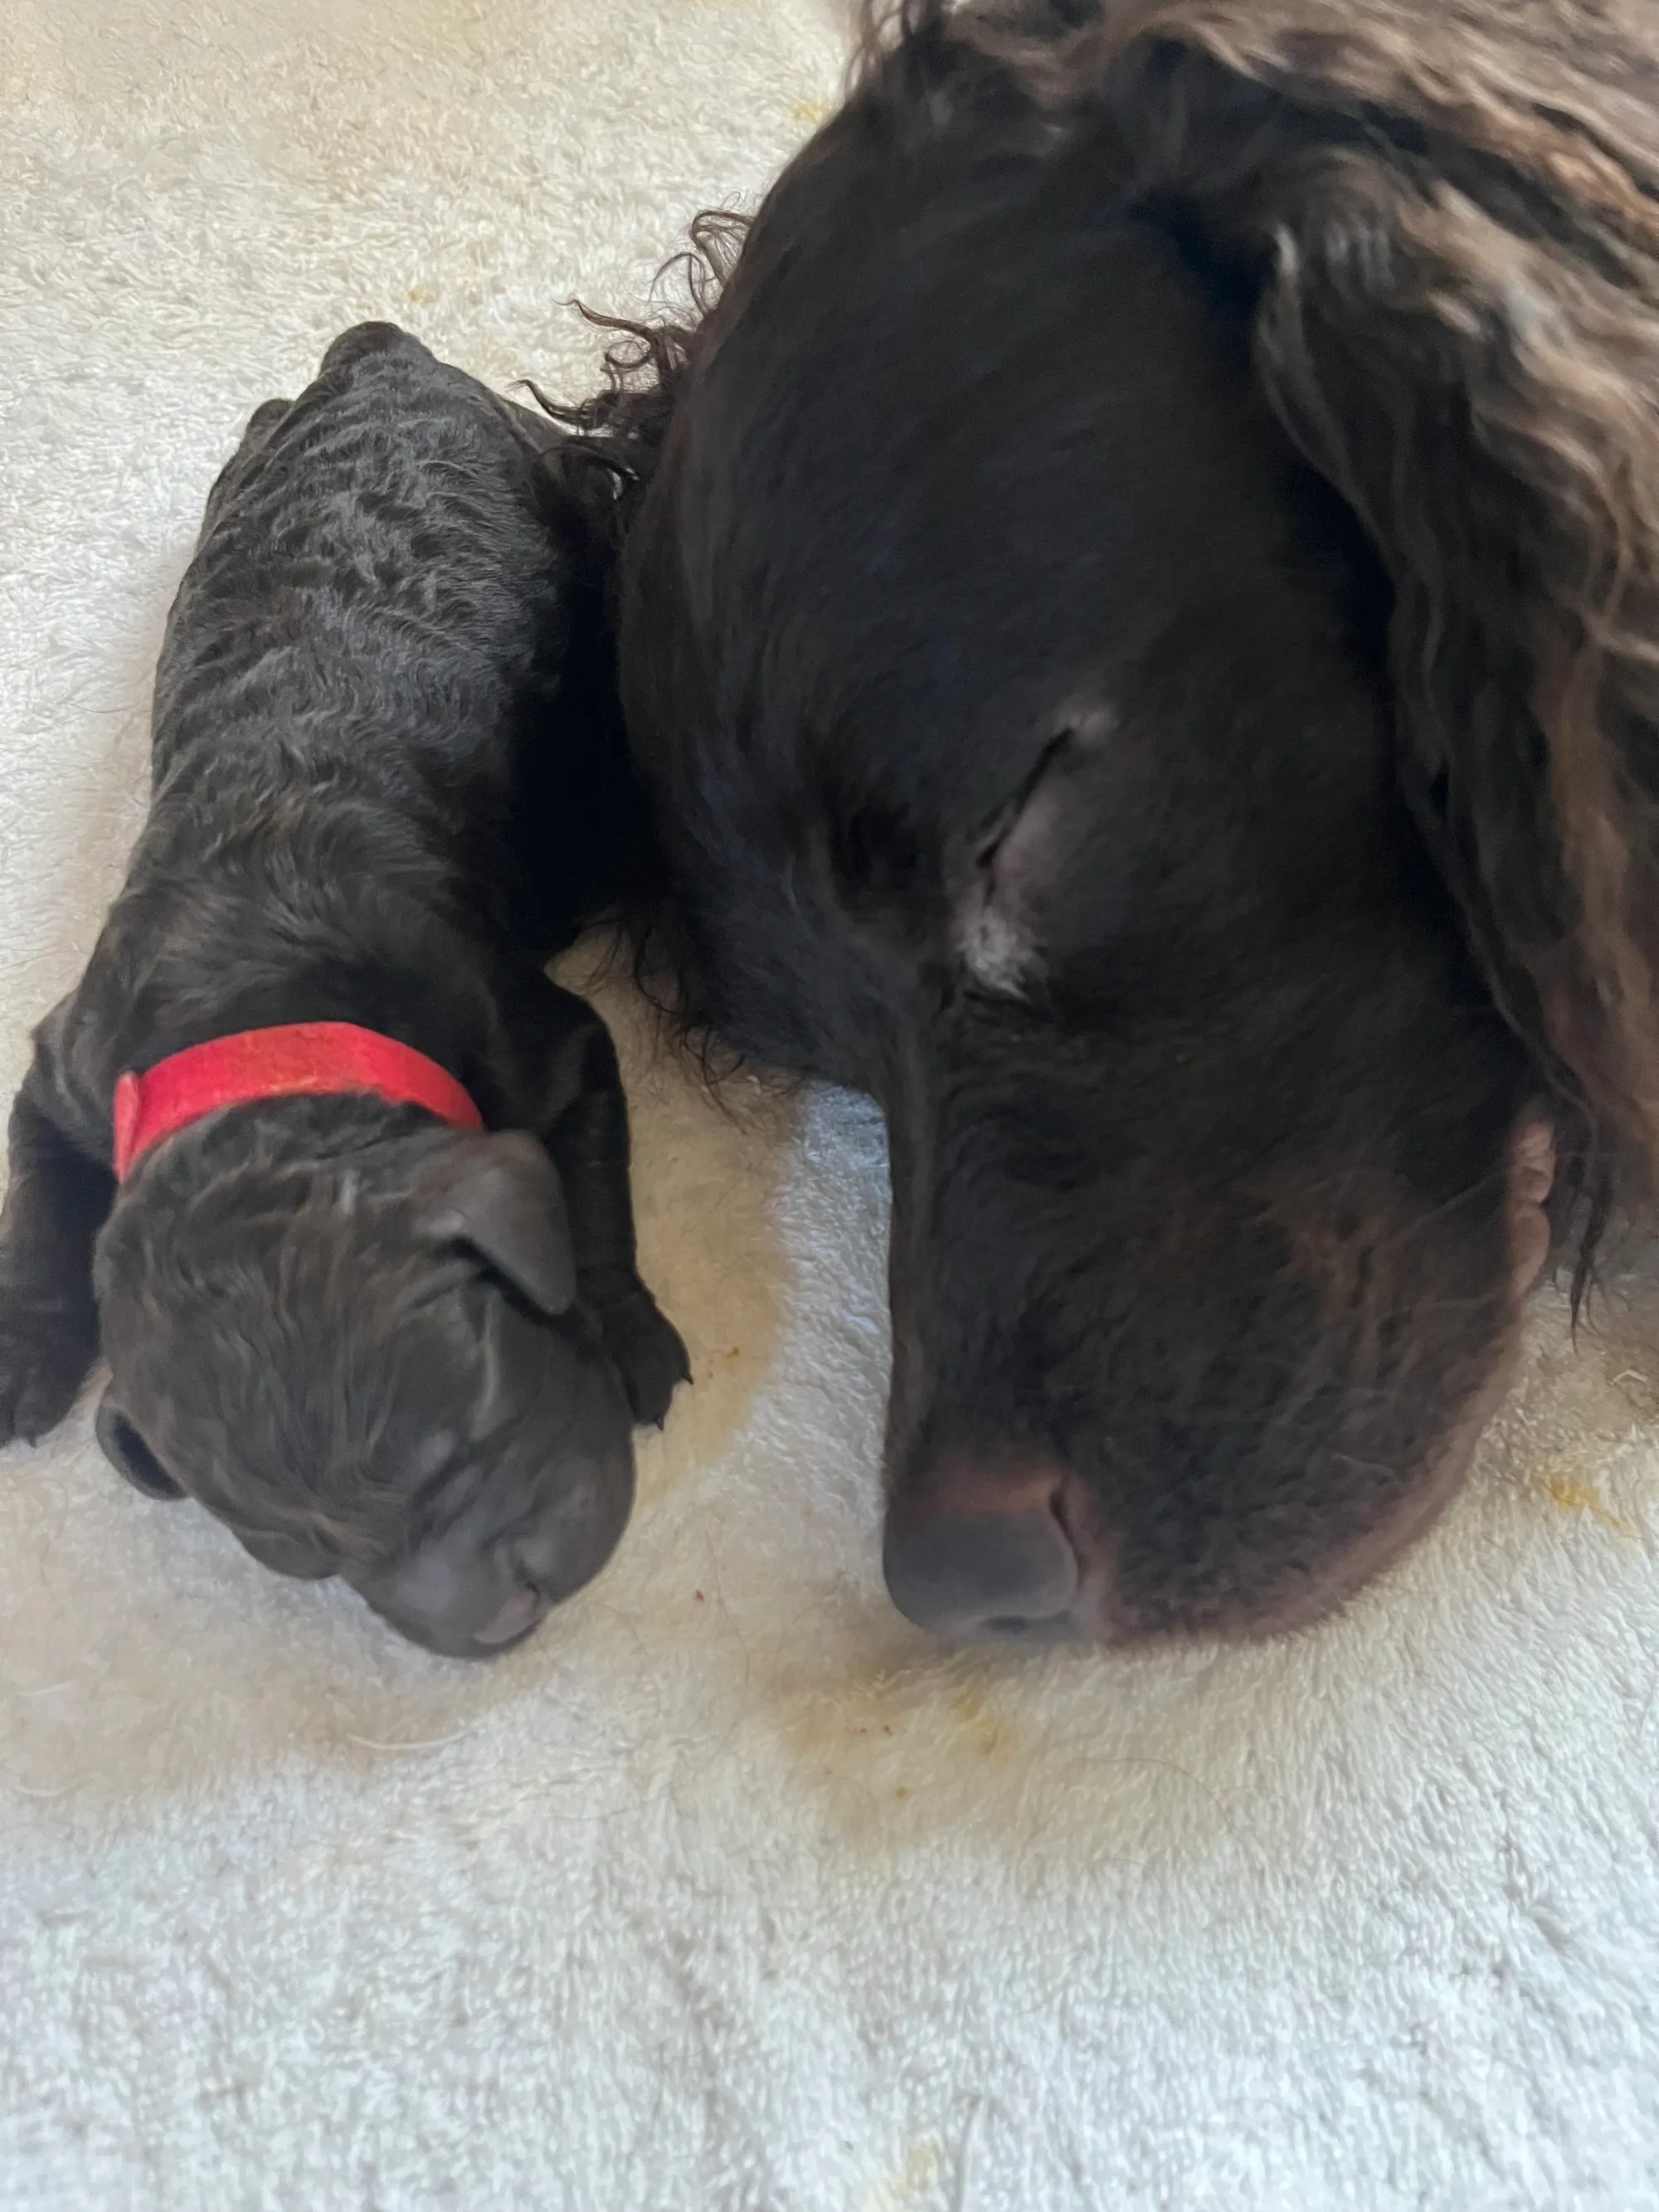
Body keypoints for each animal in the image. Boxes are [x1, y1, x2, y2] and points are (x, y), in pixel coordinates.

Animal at [0, 320, 690, 1654]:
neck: (255, 1011)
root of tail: (379, 350)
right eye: (309, 1554)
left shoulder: (547, 1039)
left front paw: (625, 1328)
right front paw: (26, 1346)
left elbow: (587, 1195)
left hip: (557, 482)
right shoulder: (73, 1059)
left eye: (461, 1430)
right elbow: (40, 1190)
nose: (497, 1623)